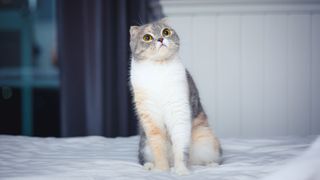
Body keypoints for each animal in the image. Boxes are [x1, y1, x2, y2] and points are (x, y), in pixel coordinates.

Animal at [129, 18, 221, 176]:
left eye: (166, 32)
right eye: (147, 37)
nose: (160, 39)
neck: (158, 69)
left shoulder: (179, 109)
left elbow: (180, 146)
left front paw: (181, 170)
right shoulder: (150, 117)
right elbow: (158, 146)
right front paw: (161, 169)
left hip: (208, 140)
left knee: (207, 159)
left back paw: (211, 165)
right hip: (144, 145)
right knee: (144, 159)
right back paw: (150, 166)